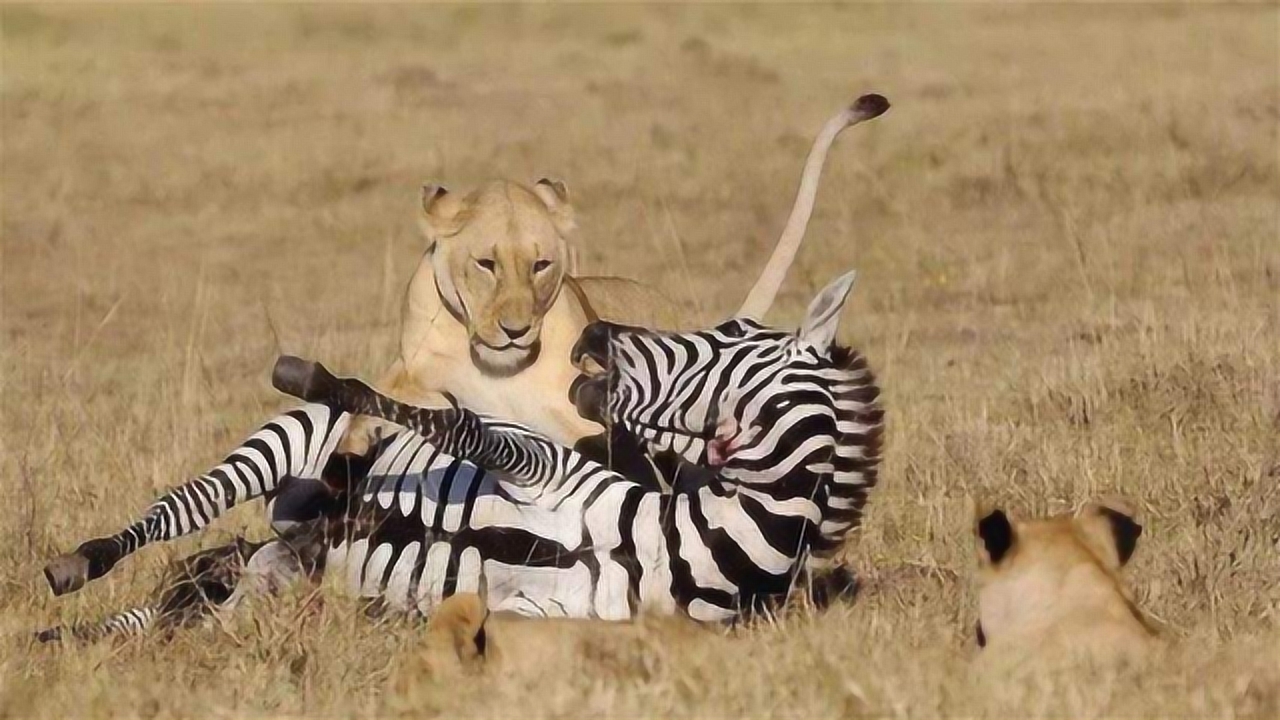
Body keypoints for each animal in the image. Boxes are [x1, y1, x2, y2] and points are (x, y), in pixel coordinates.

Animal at [40, 269, 880, 632]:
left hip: (263, 567)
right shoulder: (542, 465)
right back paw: (78, 564)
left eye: (726, 337)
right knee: (180, 509)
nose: (591, 333)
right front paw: (324, 376)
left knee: (182, 609)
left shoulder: (542, 613)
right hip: (286, 446)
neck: (684, 547)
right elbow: (464, 428)